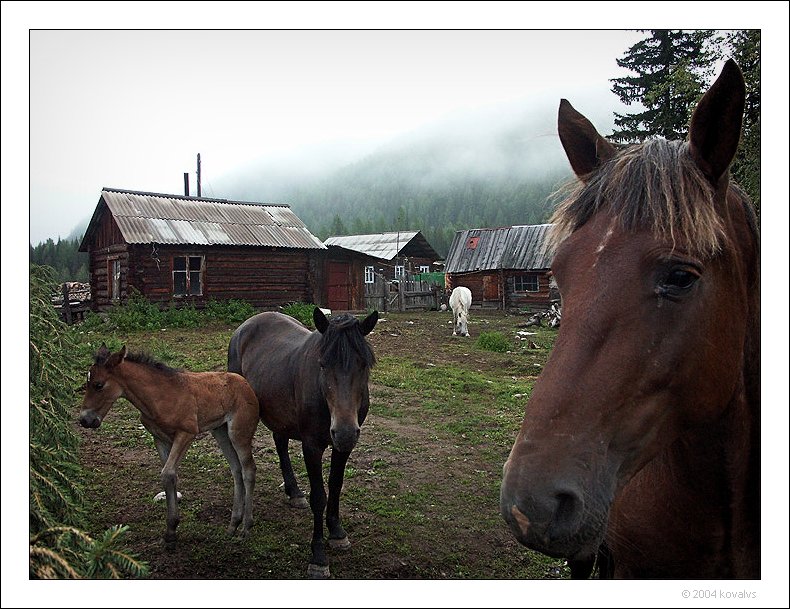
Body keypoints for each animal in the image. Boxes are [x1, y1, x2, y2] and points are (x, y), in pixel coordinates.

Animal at [77, 344, 258, 548]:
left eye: (99, 385)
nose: (85, 420)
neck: (159, 396)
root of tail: (245, 384)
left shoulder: (186, 433)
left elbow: (167, 473)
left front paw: (172, 528)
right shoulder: (160, 439)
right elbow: (169, 477)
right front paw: (171, 531)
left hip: (239, 433)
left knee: (248, 470)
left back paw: (246, 527)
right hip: (220, 432)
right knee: (236, 470)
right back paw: (233, 524)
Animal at [227, 306, 378, 576]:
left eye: (364, 364)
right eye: (323, 364)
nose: (345, 432)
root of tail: (245, 325)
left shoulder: (342, 448)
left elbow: (335, 486)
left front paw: (337, 532)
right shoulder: (312, 446)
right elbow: (319, 496)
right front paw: (318, 556)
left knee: (280, 442)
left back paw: (294, 492)